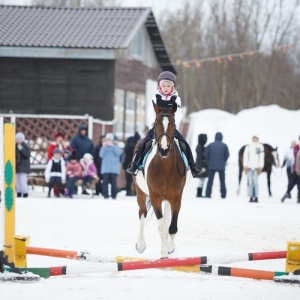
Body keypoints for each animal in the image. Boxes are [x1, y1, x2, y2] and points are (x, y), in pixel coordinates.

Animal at [134, 101, 188, 258]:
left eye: (173, 124)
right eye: (156, 123)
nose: (164, 149)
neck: (166, 167)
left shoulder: (176, 197)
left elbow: (172, 226)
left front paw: (170, 248)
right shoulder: (155, 196)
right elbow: (162, 225)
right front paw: (163, 253)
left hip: (168, 199)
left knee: (167, 218)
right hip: (140, 192)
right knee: (142, 214)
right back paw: (140, 245)